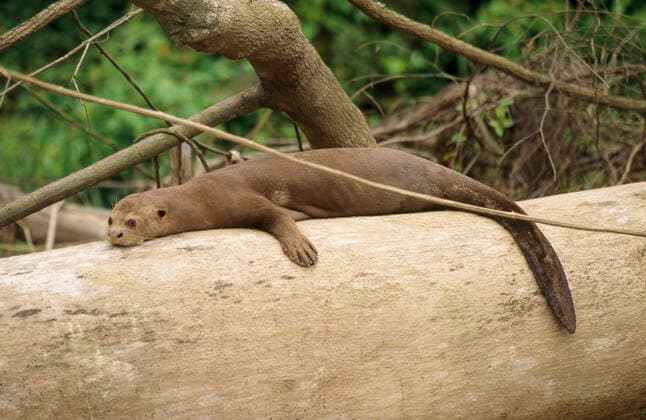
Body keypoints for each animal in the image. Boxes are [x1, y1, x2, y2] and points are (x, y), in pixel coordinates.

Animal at [108, 147, 575, 333]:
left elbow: (277, 216)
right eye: (111, 217)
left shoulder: (239, 198)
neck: (198, 197)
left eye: (131, 222)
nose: (113, 234)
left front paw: (300, 248)